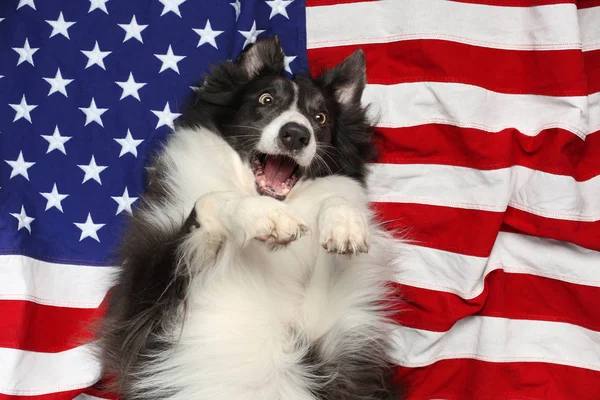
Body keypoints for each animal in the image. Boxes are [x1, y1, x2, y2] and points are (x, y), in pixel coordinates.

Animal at [97, 36, 404, 398]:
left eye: (320, 117)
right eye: (266, 99)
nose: (296, 134)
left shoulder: (329, 344)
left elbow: (336, 198)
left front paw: (345, 224)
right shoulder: (143, 304)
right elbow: (209, 201)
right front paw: (265, 217)